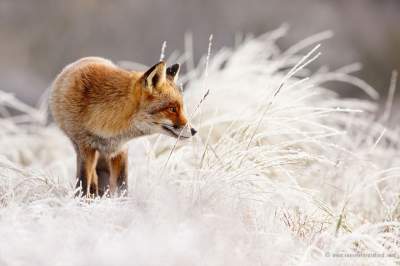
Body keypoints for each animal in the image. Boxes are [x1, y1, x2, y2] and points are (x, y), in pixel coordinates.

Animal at [50, 57, 197, 196]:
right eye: (172, 109)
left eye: (181, 108)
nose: (194, 131)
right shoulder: (85, 148)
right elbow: (84, 182)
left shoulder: (121, 149)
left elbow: (123, 185)